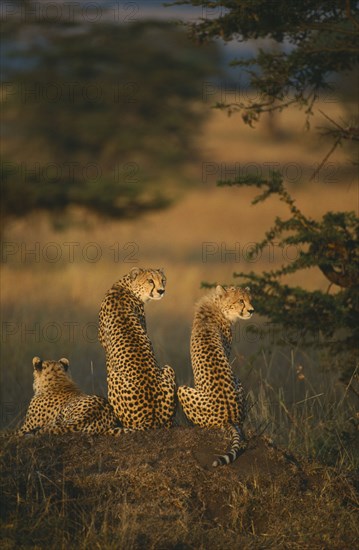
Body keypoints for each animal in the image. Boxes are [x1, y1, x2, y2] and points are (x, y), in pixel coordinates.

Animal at [98, 268, 177, 432]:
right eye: (150, 281)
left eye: (163, 280)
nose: (161, 291)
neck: (126, 287)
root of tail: (152, 418)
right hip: (168, 369)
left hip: (113, 378)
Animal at [179, 286, 255, 468]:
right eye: (241, 301)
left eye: (250, 299)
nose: (251, 310)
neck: (218, 305)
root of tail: (228, 417)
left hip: (182, 390)